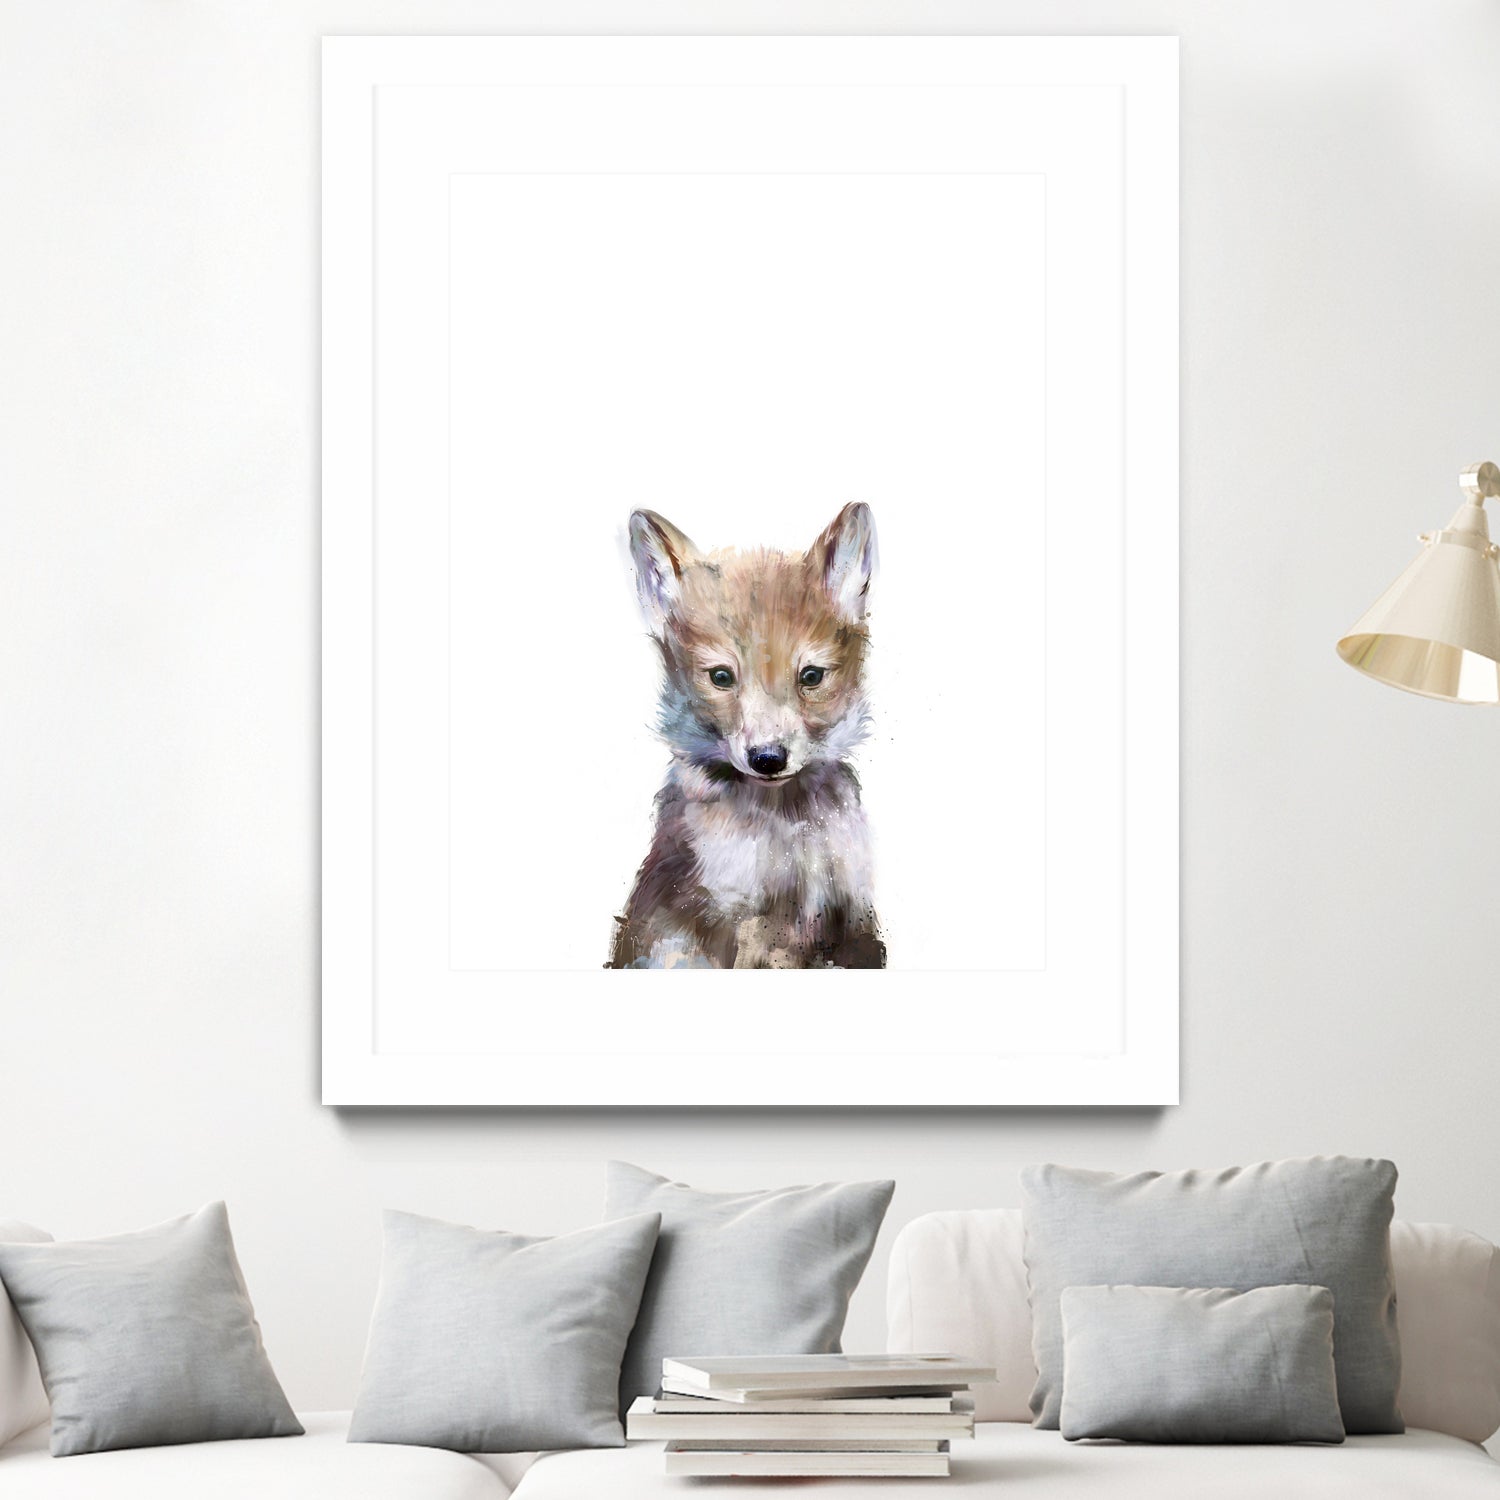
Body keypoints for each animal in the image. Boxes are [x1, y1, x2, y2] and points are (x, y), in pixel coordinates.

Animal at [609, 502, 886, 970]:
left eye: (811, 676)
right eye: (721, 677)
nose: (768, 759)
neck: (786, 830)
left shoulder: (851, 915)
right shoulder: (737, 919)